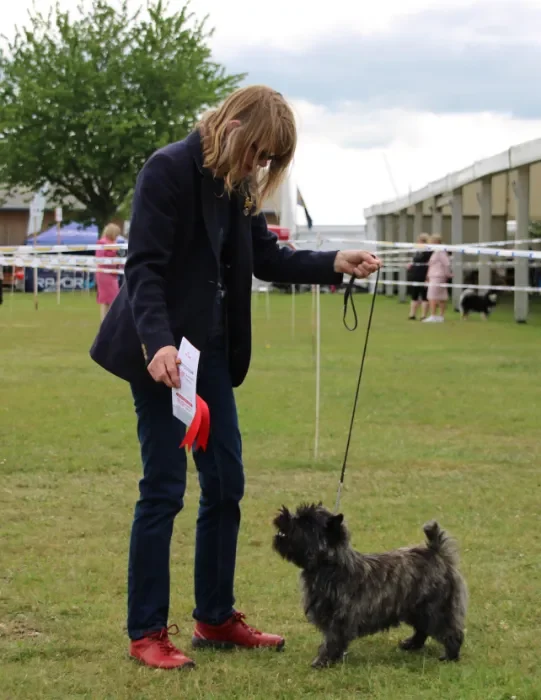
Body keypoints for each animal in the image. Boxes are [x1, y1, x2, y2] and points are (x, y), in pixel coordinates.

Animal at [272, 503, 468, 669]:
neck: (330, 566)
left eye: (306, 523)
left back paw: (449, 656)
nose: (282, 515)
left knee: (451, 631)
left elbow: (332, 640)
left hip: (436, 608)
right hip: (417, 609)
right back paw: (411, 644)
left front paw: (323, 660)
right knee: (422, 630)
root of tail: (437, 553)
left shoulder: (338, 618)